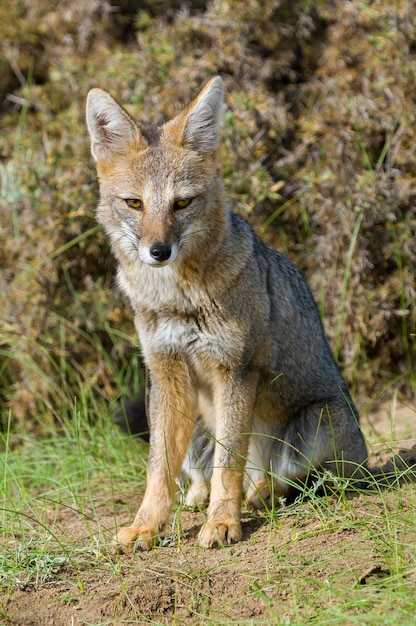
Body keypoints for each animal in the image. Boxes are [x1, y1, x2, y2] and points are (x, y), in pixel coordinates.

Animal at [86, 75, 366, 548]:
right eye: (134, 203)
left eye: (182, 203)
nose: (158, 251)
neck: (177, 299)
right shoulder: (165, 372)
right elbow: (157, 467)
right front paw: (147, 524)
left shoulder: (236, 369)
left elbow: (229, 463)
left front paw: (222, 522)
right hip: (197, 425)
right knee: (197, 471)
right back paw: (199, 498)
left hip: (313, 427)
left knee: (290, 480)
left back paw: (257, 495)